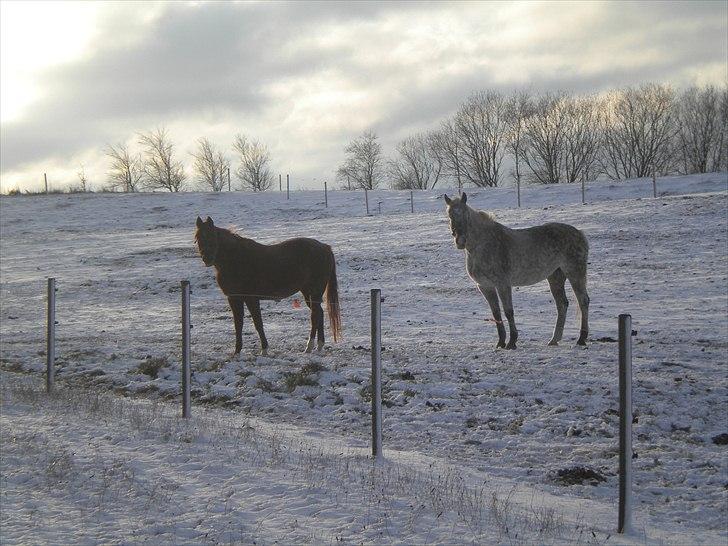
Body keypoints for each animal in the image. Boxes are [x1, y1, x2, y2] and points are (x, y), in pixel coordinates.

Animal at [193, 215, 342, 354]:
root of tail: (325, 247)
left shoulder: (251, 299)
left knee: (315, 316)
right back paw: (319, 345)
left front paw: (264, 349)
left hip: (314, 292)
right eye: (198, 238)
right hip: (308, 293)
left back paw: (309, 347)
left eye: (212, 236)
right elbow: (238, 324)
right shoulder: (234, 298)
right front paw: (237, 351)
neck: (236, 259)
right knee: (319, 313)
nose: (207, 259)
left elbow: (258, 323)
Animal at [444, 193, 592, 346]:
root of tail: (579, 233)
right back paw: (554, 339)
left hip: (575, 273)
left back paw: (582, 338)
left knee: (583, 301)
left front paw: (512, 342)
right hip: (555, 277)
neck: (484, 244)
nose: (460, 241)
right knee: (562, 304)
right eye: (449, 215)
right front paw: (501, 342)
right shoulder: (485, 286)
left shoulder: (502, 284)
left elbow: (508, 311)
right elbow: (496, 313)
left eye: (465, 214)